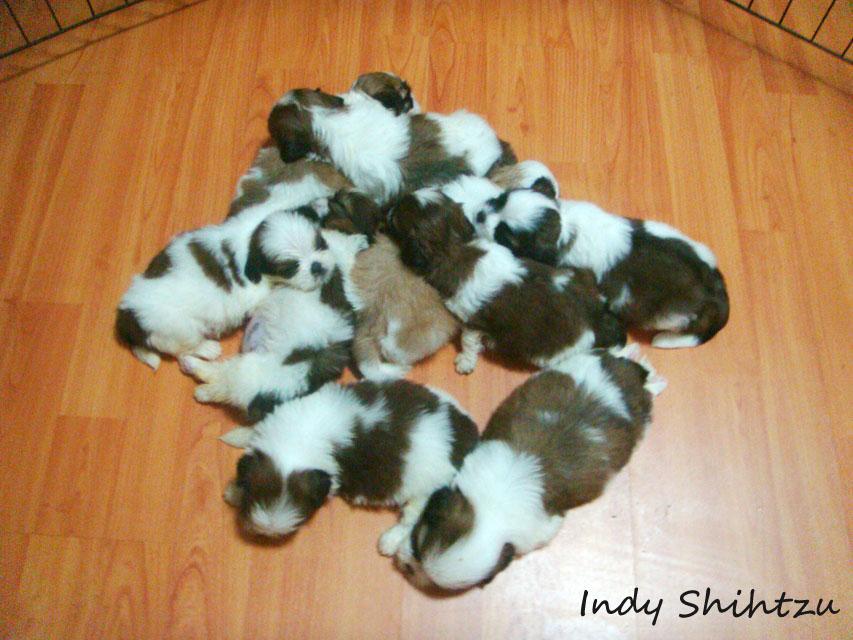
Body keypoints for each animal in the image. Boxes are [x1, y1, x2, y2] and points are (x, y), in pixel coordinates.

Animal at [115, 195, 335, 370]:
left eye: (320, 243)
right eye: (290, 269)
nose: (316, 267)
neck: (250, 242)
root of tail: (128, 316)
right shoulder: (256, 296)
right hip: (178, 329)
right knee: (182, 349)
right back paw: (207, 348)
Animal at [221, 379, 479, 555]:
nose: (265, 530)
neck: (301, 437)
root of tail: (466, 435)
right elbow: (254, 432)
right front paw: (238, 441)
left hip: (426, 488)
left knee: (411, 518)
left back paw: (390, 541)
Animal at [386, 190, 626, 374]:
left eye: (396, 219)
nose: (387, 211)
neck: (455, 246)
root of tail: (596, 317)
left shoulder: (472, 319)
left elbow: (468, 340)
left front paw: (465, 361)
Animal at [478, 190, 730, 348]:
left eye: (503, 234)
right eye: (499, 199)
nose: (479, 215)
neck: (565, 227)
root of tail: (716, 292)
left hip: (667, 316)